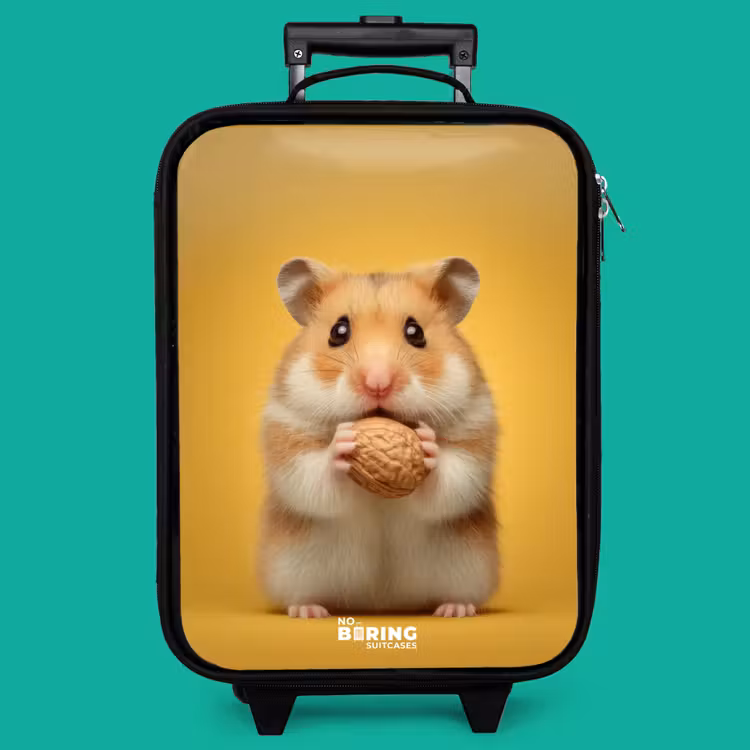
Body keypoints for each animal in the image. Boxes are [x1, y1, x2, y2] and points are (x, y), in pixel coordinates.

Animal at [258, 257, 499, 618]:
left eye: (416, 333)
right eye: (338, 332)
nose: (378, 383)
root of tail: (382, 604)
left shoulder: (474, 431)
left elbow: (453, 479)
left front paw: (428, 446)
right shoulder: (287, 433)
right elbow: (311, 477)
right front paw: (342, 444)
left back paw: (454, 609)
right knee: (302, 595)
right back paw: (309, 611)